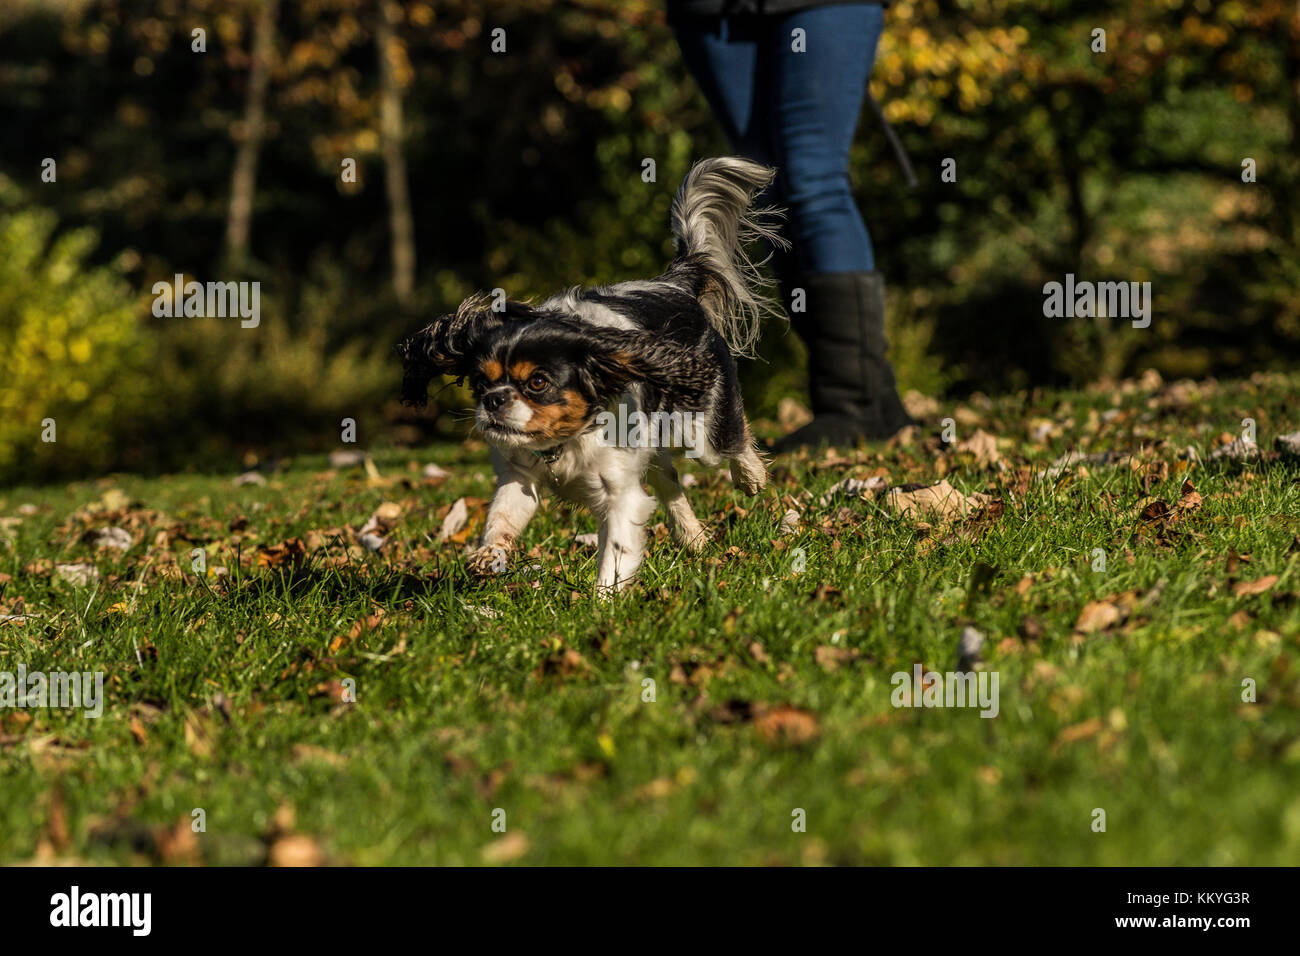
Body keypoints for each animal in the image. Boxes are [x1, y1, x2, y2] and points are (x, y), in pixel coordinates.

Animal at [397, 156, 780, 590]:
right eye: (482, 383)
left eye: (538, 382)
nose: (494, 400)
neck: (566, 440)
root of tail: (674, 283)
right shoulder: (519, 477)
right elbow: (501, 520)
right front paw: (487, 555)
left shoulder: (620, 495)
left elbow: (614, 555)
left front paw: (602, 602)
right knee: (669, 481)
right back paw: (694, 538)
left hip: (700, 428)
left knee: (729, 441)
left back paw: (750, 476)